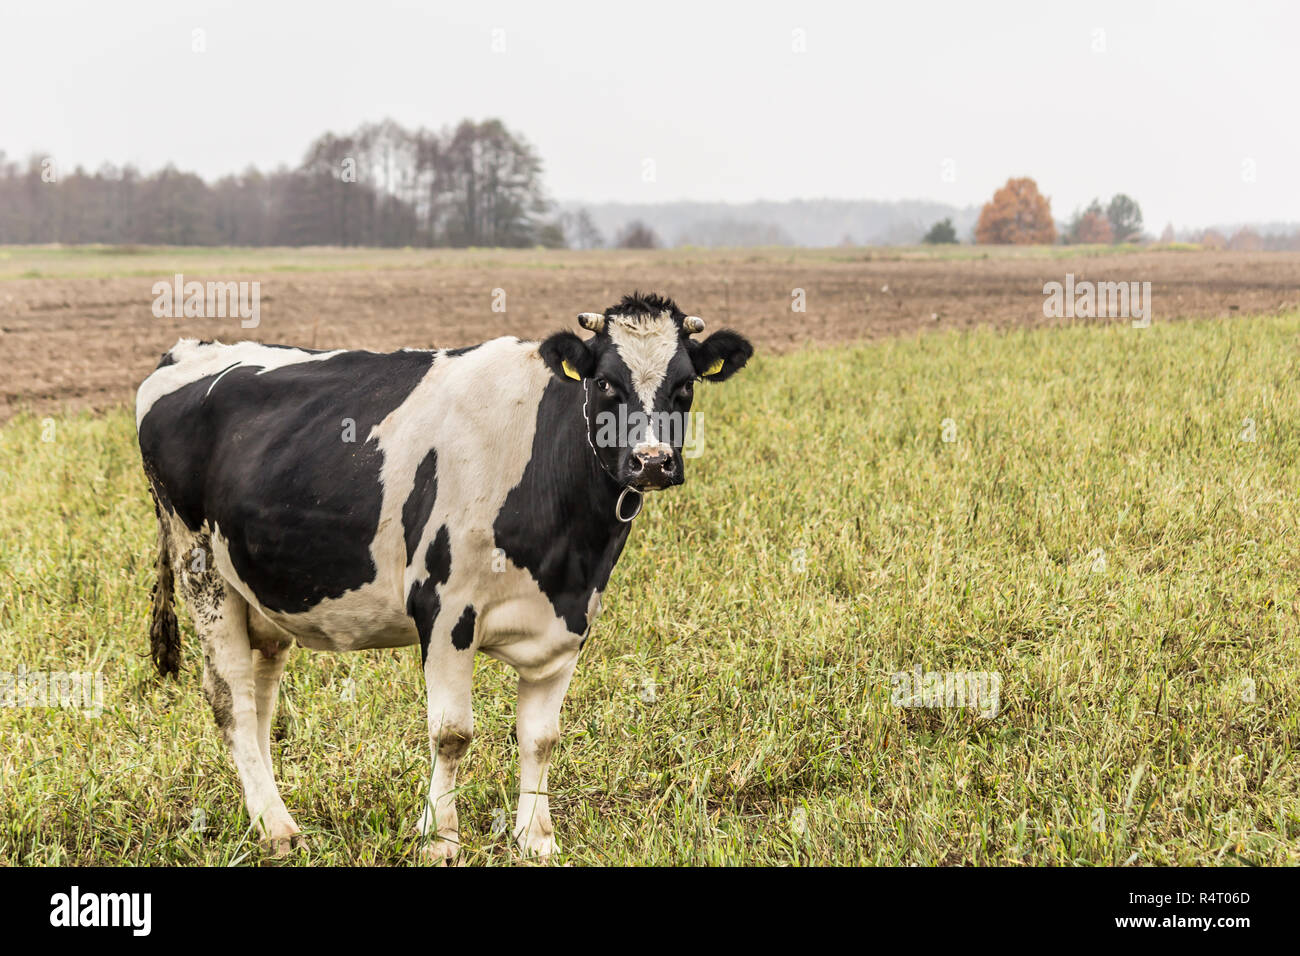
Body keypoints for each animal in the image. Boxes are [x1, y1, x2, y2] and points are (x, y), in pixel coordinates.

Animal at [136, 292, 753, 861]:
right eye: (604, 382)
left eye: (685, 384)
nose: (651, 461)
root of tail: (188, 348)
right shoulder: (445, 610)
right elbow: (452, 733)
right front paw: (440, 838)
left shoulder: (569, 620)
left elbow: (542, 737)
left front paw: (536, 839)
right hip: (202, 571)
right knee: (231, 699)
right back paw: (278, 829)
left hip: (262, 590)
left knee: (261, 699)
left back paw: (266, 815)